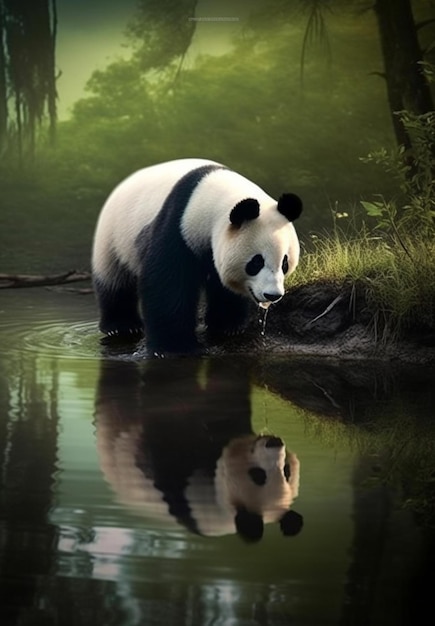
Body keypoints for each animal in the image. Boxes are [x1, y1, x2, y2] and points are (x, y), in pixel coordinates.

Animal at [92, 157, 304, 352]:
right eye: (256, 262)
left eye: (284, 263)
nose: (272, 295)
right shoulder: (178, 223)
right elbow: (167, 282)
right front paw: (174, 347)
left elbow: (223, 286)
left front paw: (227, 326)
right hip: (113, 236)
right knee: (114, 280)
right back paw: (122, 326)